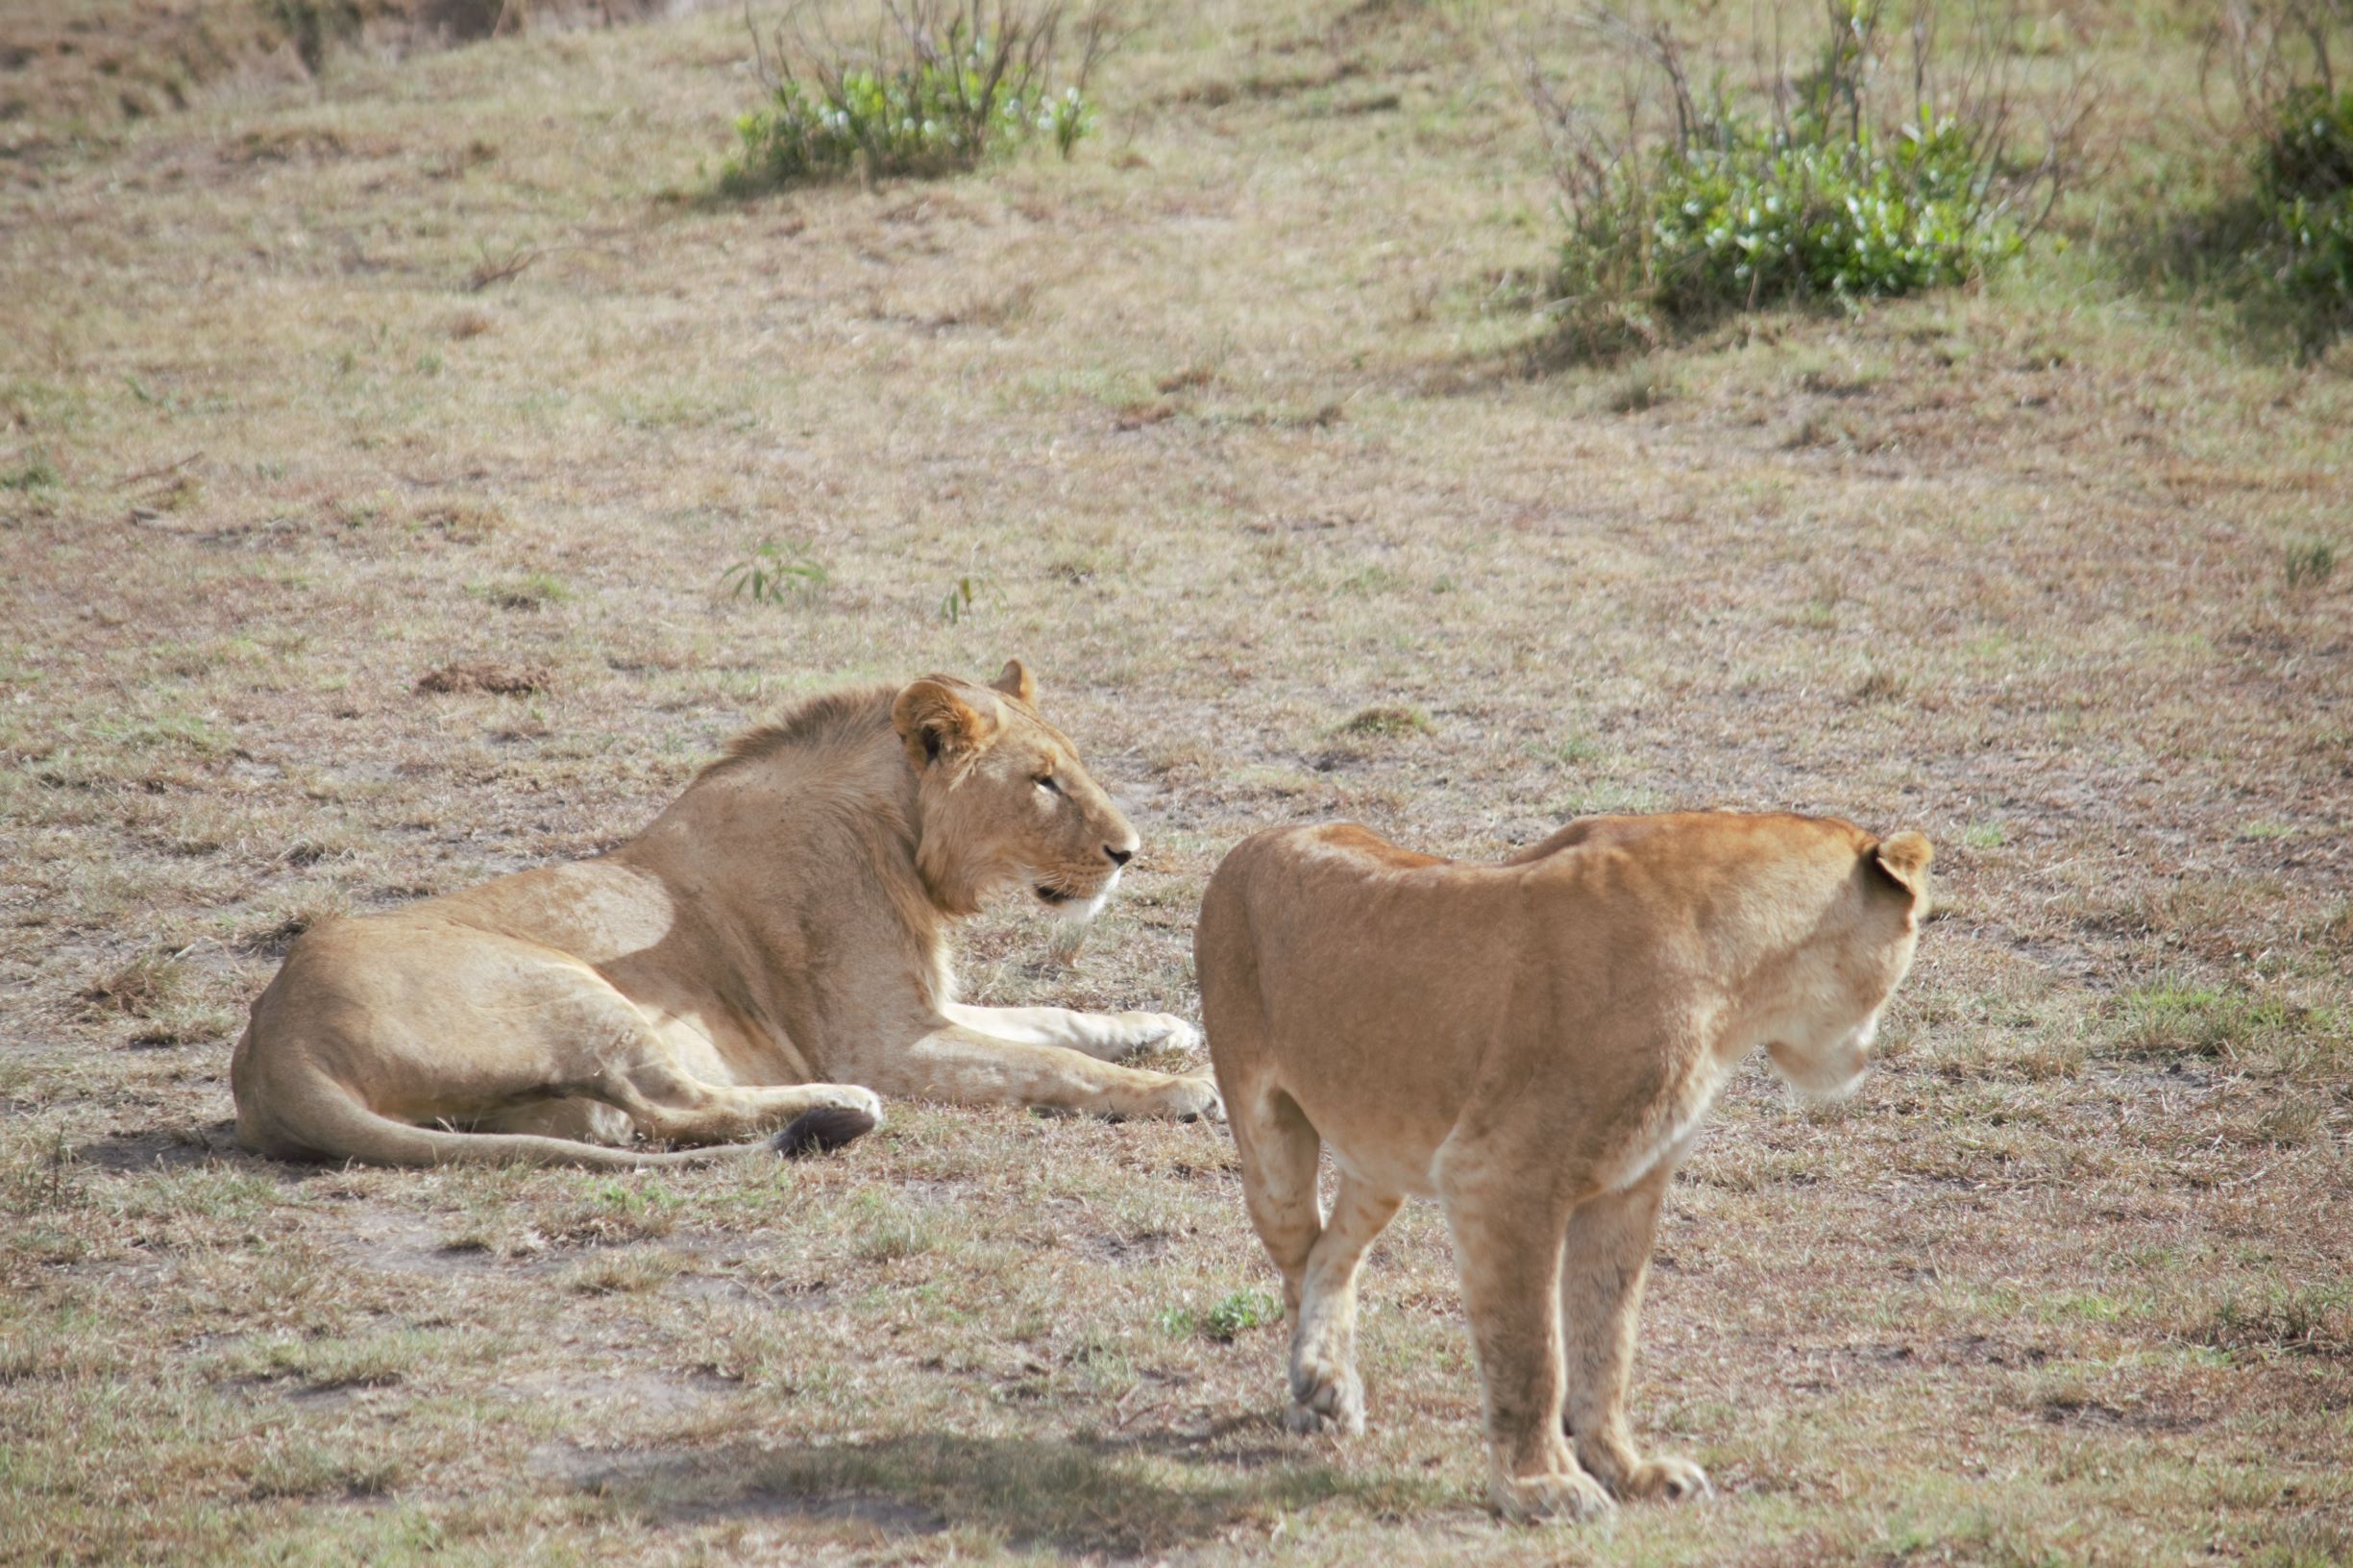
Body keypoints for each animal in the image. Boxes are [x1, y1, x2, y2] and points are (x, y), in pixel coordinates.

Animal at [232, 654, 1223, 1158]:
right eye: (1043, 781)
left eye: (1072, 766)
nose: (1129, 851)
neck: (900, 834)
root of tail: (268, 1043)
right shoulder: (889, 1041)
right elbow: (1055, 1064)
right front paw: (1179, 1090)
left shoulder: (927, 1007)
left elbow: (1055, 1019)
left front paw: (1160, 1028)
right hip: (571, 987)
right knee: (672, 1100)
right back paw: (836, 1106)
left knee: (625, 1115)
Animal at [1195, 809, 1929, 1516]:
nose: (1864, 1057)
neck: (1741, 986)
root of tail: (1257, 839)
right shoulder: (1498, 1176)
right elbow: (1532, 1356)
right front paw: (1539, 1485)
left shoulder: (1629, 1186)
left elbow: (1606, 1340)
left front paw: (1627, 1471)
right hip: (1270, 1149)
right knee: (1299, 1256)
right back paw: (1314, 1393)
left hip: (1384, 1148)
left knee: (1334, 1249)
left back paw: (1326, 1385)